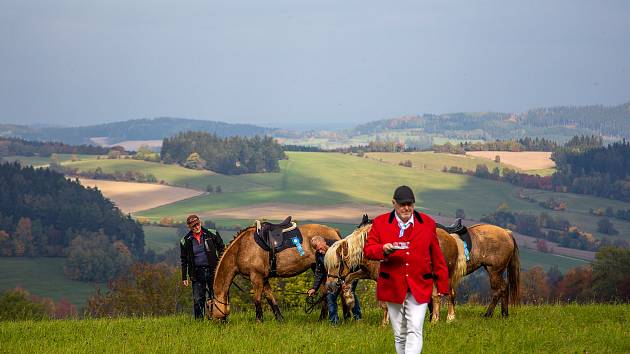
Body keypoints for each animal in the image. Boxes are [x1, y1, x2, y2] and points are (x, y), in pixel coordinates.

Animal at [209, 224, 344, 324]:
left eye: (210, 307)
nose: (212, 321)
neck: (241, 248)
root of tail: (334, 231)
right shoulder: (264, 278)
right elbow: (270, 298)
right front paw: (280, 319)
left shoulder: (256, 277)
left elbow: (257, 299)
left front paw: (259, 321)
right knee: (325, 292)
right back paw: (323, 318)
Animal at [326, 221, 470, 324]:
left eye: (336, 265)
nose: (330, 285)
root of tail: (451, 237)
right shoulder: (367, 272)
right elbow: (349, 278)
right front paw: (349, 299)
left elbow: (384, 303)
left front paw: (384, 323)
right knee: (437, 296)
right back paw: (436, 320)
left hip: (444, 275)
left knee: (448, 294)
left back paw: (448, 318)